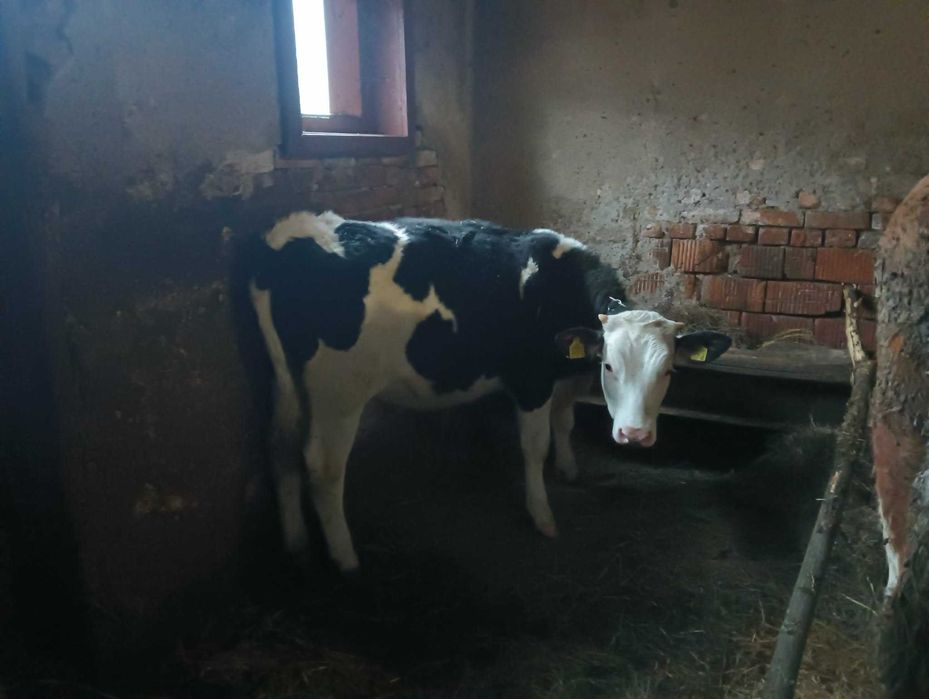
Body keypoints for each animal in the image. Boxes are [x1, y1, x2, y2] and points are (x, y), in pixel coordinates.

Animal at [250, 211, 731, 572]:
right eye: (610, 366)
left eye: (668, 371)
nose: (635, 435)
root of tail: (294, 231)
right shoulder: (531, 379)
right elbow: (534, 446)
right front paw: (542, 515)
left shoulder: (563, 375)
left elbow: (565, 421)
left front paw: (568, 468)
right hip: (340, 394)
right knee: (323, 466)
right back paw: (344, 555)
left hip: (285, 385)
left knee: (279, 449)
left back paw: (295, 541)